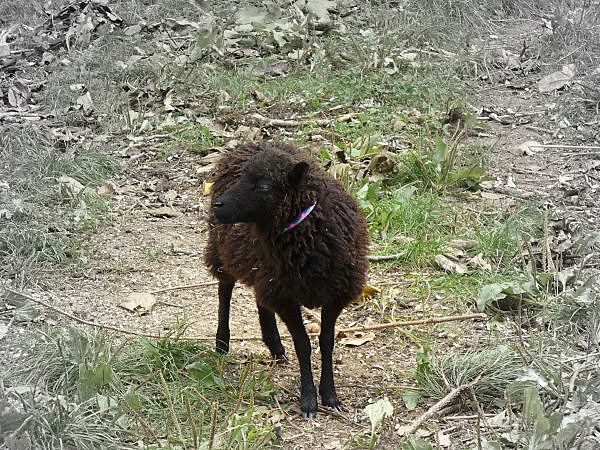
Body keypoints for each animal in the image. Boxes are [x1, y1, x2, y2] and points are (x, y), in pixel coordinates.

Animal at [204, 142, 368, 418]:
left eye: (263, 186)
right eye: (243, 178)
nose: (218, 205)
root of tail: (248, 144)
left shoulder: (334, 294)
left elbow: (327, 342)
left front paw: (330, 395)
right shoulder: (286, 296)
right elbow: (303, 345)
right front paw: (309, 400)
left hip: (262, 268)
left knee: (259, 298)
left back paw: (275, 346)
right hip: (223, 249)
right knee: (224, 290)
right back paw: (222, 342)